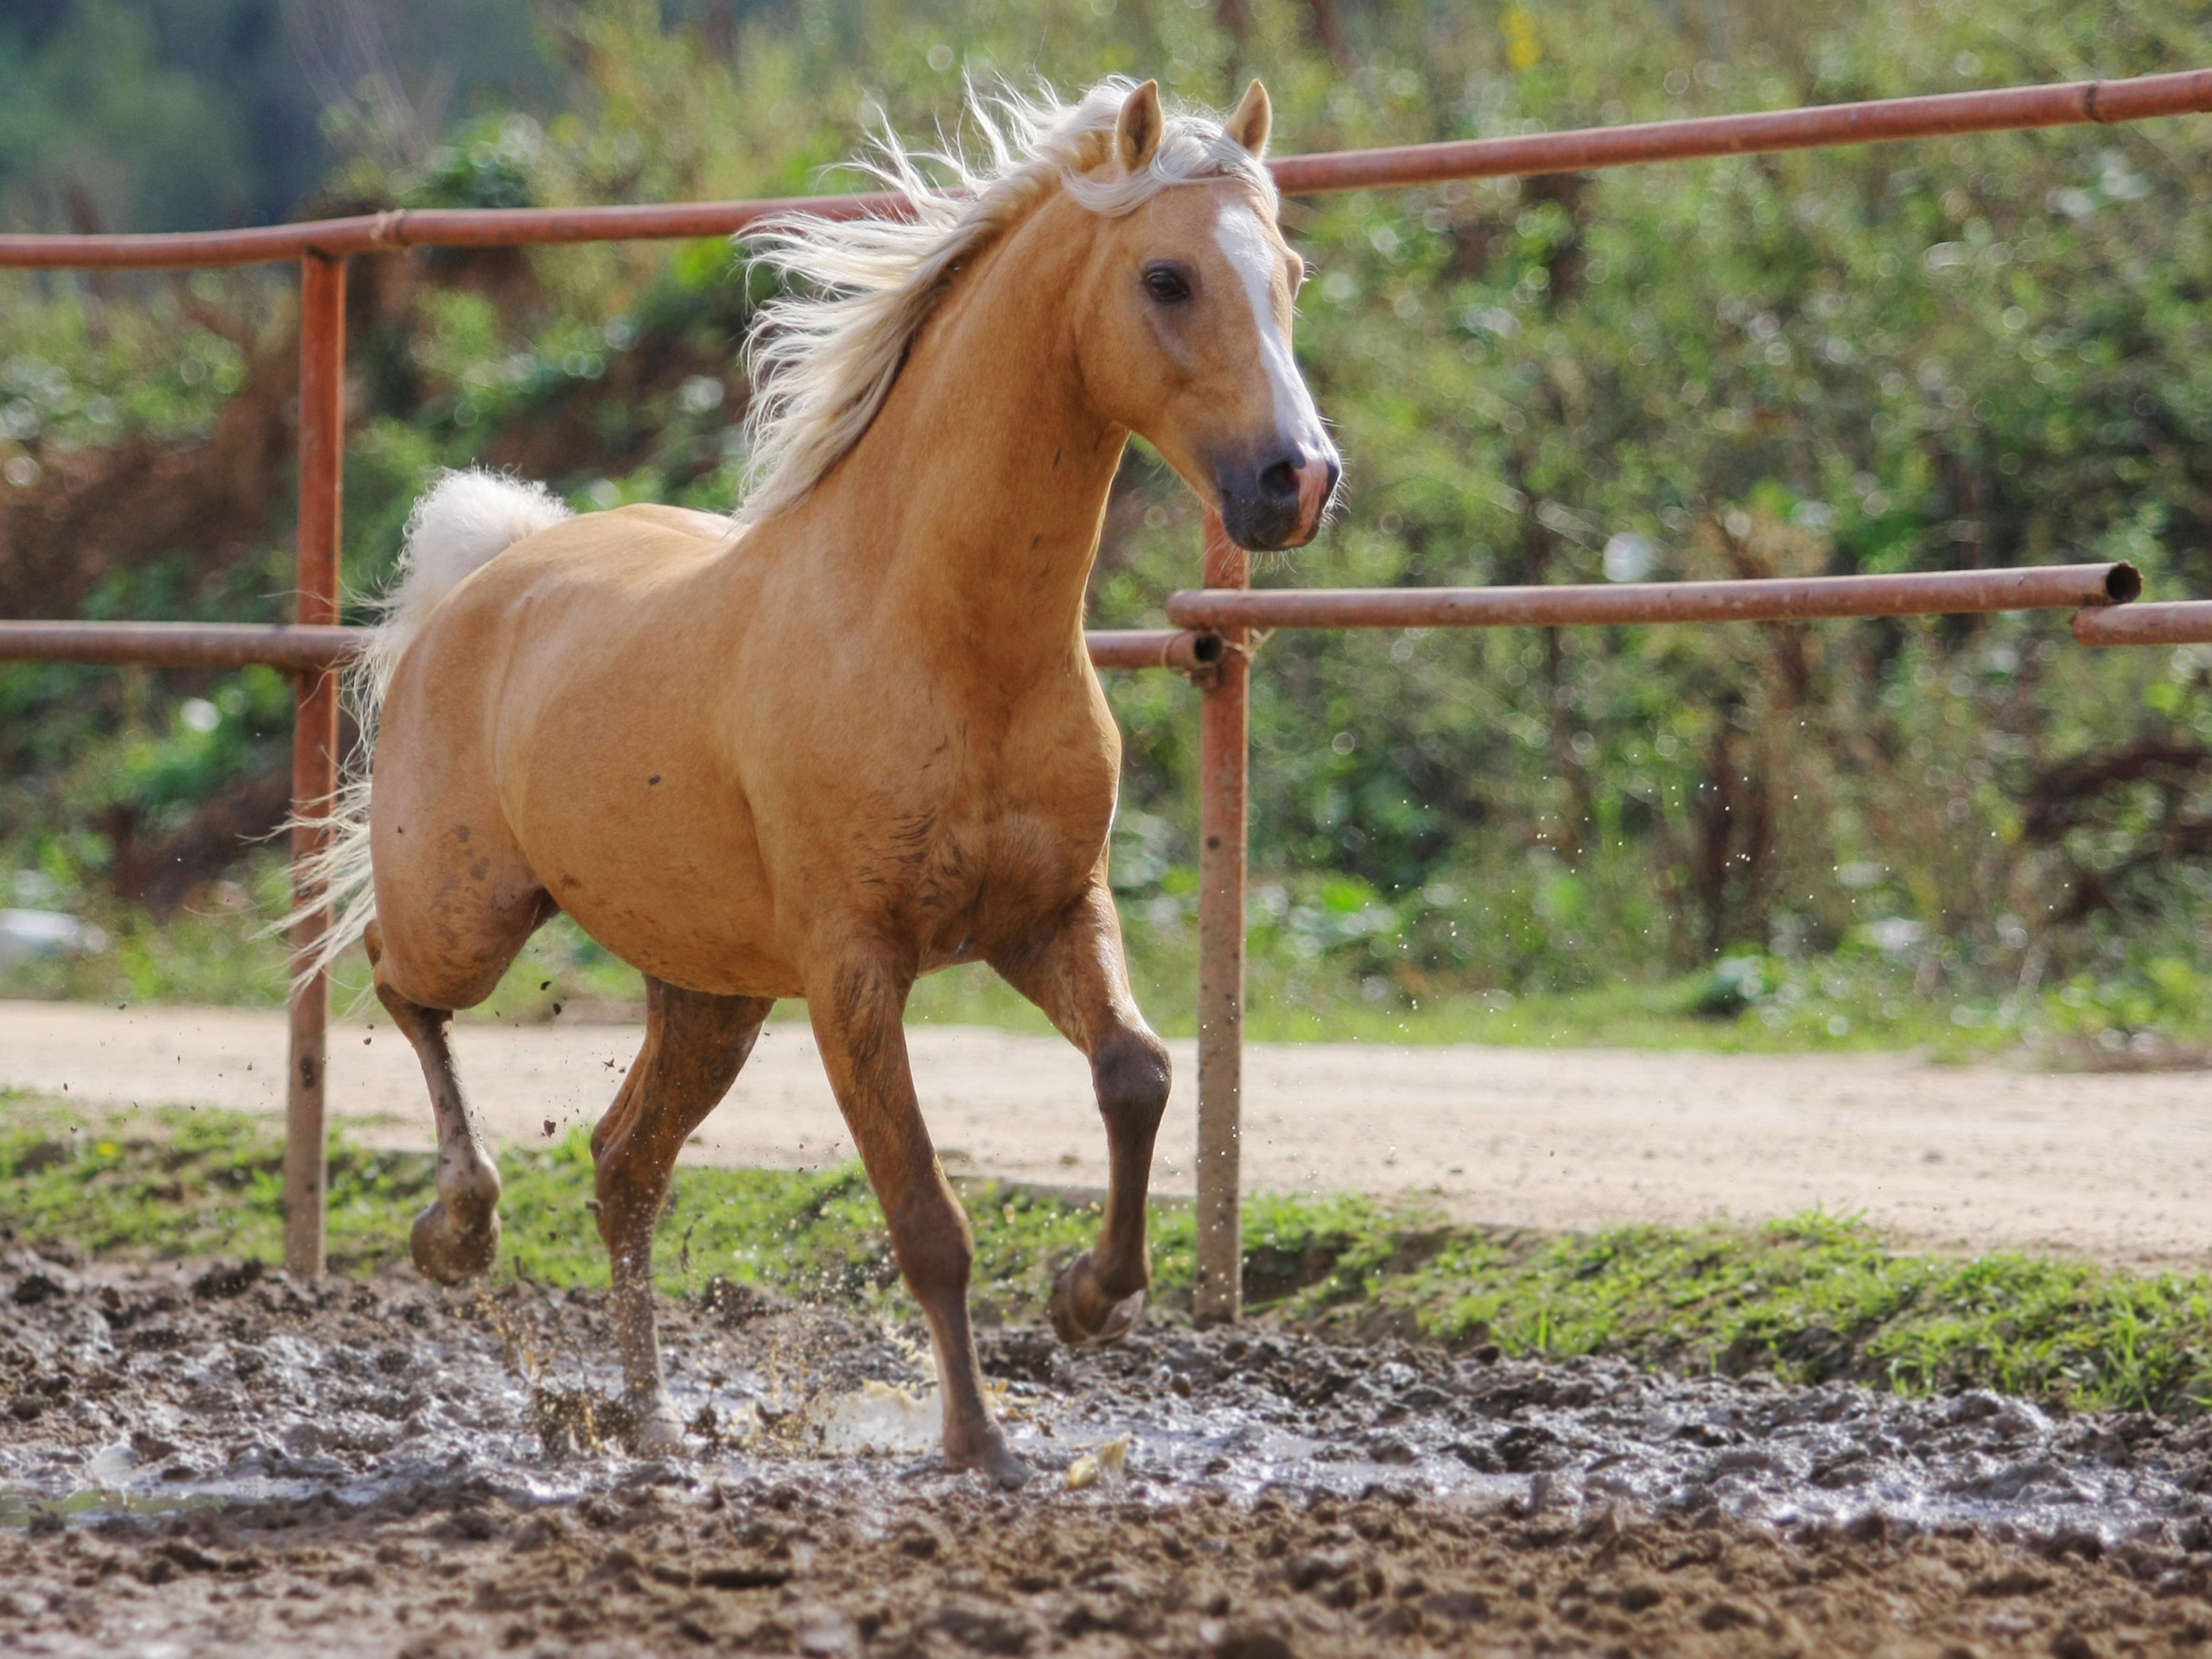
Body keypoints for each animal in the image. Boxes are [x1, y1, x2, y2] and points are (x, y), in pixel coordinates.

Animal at [305, 78, 1336, 1486]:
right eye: (1168, 277)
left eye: (1288, 274)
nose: (1299, 480)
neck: (944, 639)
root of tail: (489, 572)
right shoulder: (855, 968)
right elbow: (928, 1216)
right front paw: (978, 1443)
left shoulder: (1048, 914)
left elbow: (1139, 1073)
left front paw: (1088, 1299)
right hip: (470, 913)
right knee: (401, 984)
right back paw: (460, 1230)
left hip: (712, 992)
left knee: (625, 1167)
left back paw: (651, 1423)